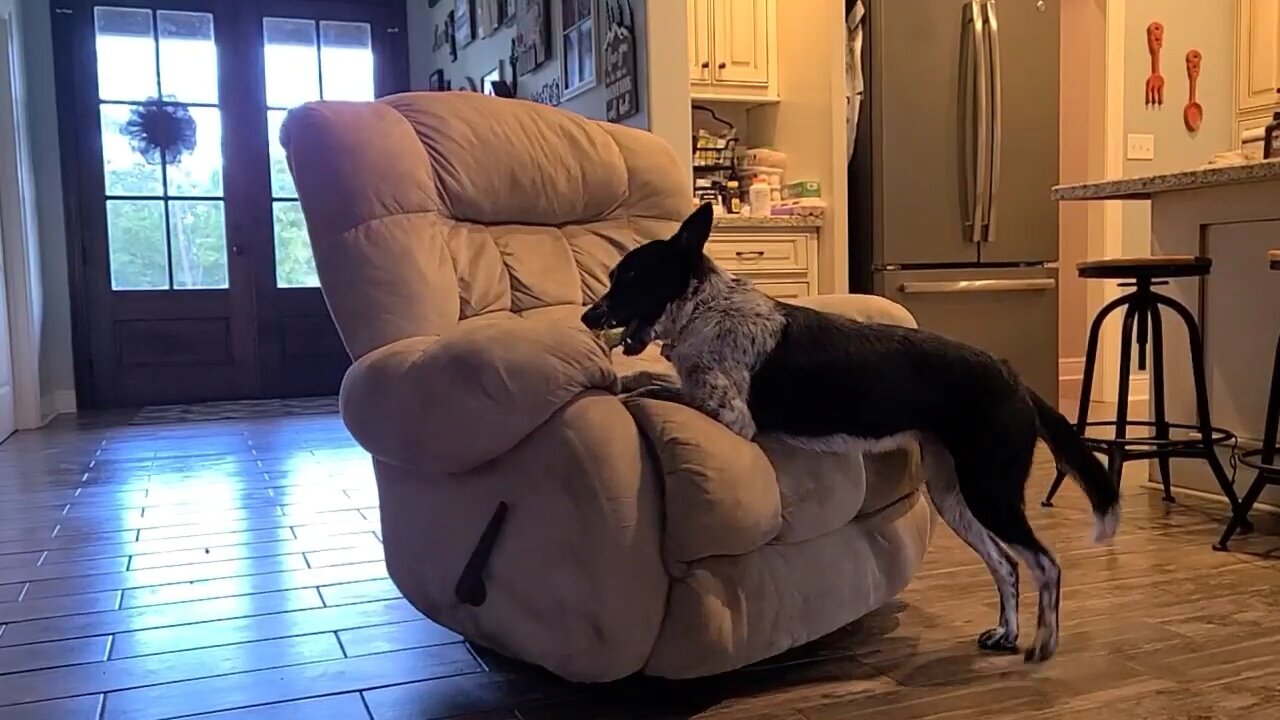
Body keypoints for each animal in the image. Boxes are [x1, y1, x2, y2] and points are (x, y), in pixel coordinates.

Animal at [583, 203, 1121, 661]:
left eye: (631, 277)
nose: (589, 317)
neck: (705, 310)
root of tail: (1015, 379)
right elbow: (648, 378)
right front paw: (621, 381)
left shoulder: (732, 416)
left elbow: (656, 390)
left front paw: (628, 393)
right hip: (953, 496)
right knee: (1006, 564)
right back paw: (1007, 634)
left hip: (990, 492)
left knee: (1045, 563)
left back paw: (1043, 643)